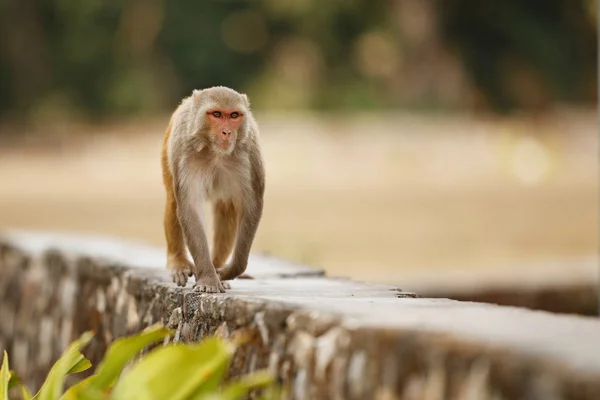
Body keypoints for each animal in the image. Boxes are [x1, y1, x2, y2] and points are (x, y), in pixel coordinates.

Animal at [161, 86, 264, 292]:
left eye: (234, 115)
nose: (226, 132)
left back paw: (217, 267)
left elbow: (251, 207)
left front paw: (228, 271)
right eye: (216, 114)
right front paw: (208, 279)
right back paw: (179, 262)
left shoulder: (250, 153)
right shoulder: (184, 151)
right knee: (173, 201)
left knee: (227, 207)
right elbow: (190, 207)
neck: (215, 152)